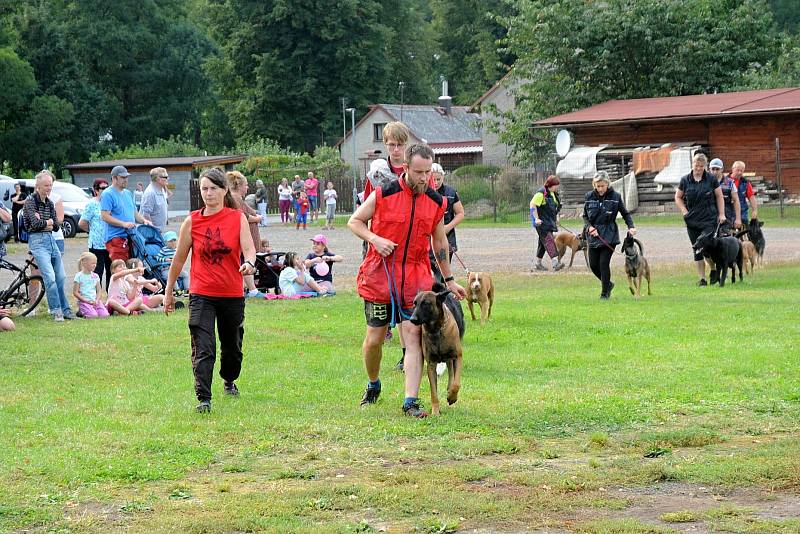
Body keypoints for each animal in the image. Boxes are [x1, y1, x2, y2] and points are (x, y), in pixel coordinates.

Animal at [410, 284, 466, 418]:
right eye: (415, 303)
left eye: (425, 303)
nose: (412, 319)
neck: (436, 329)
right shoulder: (431, 365)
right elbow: (434, 392)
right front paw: (435, 411)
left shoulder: (458, 357)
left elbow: (456, 383)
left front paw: (452, 397)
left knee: (451, 374)